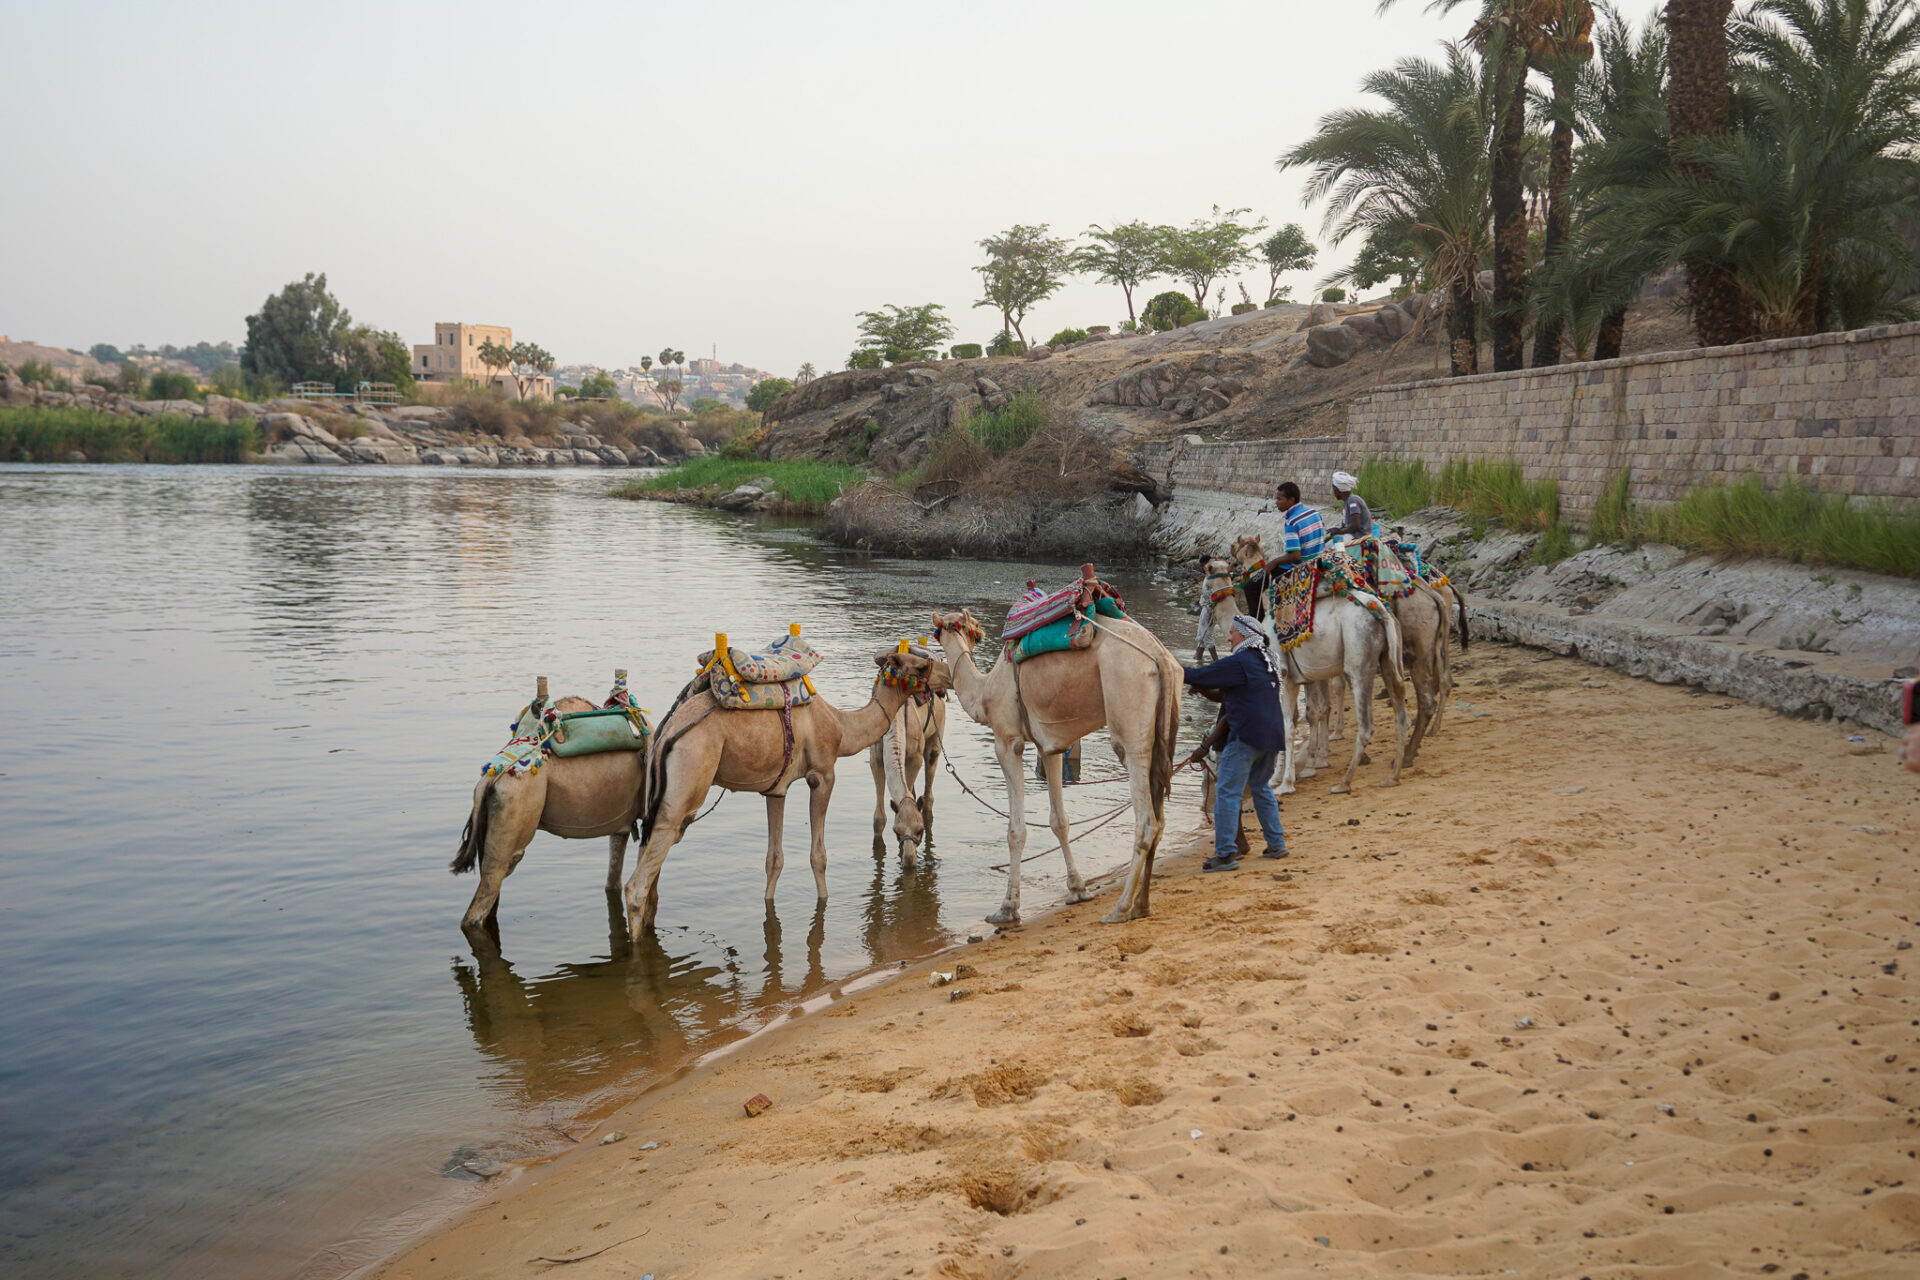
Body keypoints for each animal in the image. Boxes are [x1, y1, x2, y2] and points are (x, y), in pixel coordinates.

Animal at [871, 687, 944, 867]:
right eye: (896, 831)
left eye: (920, 830)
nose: (910, 862)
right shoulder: (875, 757)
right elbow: (879, 819)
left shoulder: (914, 757)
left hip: (936, 735)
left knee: (928, 793)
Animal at [1228, 537, 1413, 794]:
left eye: (1237, 544)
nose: (1229, 551)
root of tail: (1382, 612)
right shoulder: (1304, 676)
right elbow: (1309, 714)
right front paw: (1284, 776)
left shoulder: (1284, 675)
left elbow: (1287, 726)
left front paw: (1285, 784)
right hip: (1388, 658)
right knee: (1401, 713)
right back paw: (1392, 777)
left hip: (1358, 659)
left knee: (1366, 725)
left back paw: (1344, 782)